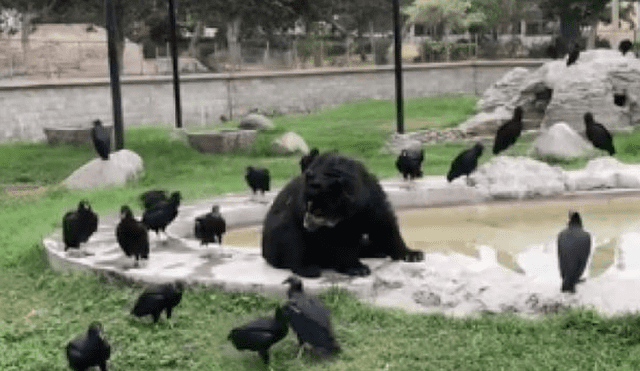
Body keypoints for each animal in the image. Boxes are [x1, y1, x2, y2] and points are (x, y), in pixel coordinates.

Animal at [260, 153, 424, 278]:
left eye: (318, 211)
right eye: (307, 207)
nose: (306, 225)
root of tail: (265, 252)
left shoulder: (372, 198)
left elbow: (383, 225)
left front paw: (413, 254)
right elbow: (335, 242)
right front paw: (358, 268)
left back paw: (377, 251)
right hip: (276, 235)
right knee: (290, 238)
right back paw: (309, 268)